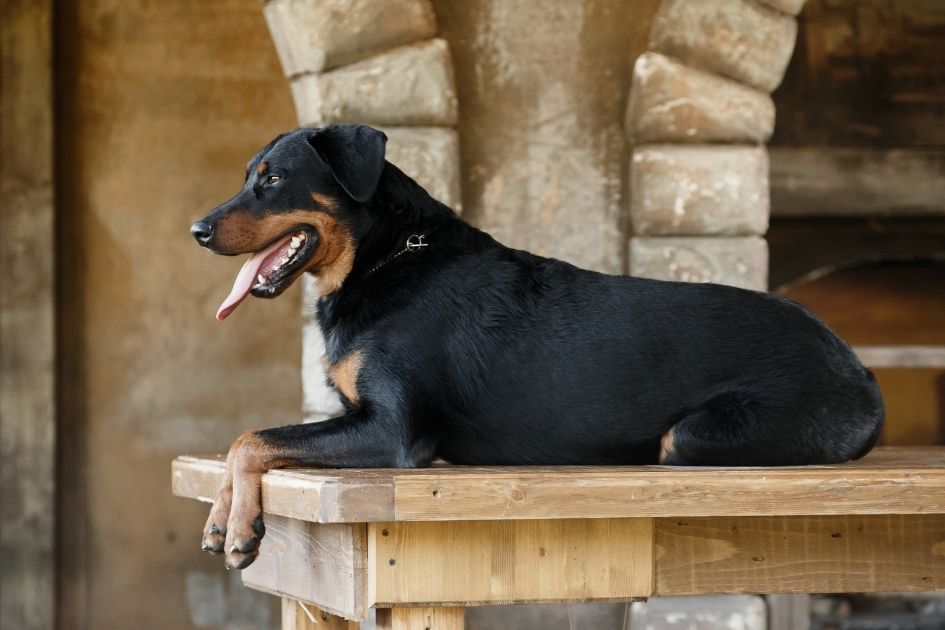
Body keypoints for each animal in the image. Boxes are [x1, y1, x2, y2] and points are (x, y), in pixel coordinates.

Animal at [190, 124, 884, 572]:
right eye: (249, 177)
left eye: (274, 179)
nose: (196, 229)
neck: (383, 259)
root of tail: (861, 371)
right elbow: (250, 441)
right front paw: (223, 518)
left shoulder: (392, 432)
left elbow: (251, 438)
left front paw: (240, 527)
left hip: (692, 436)